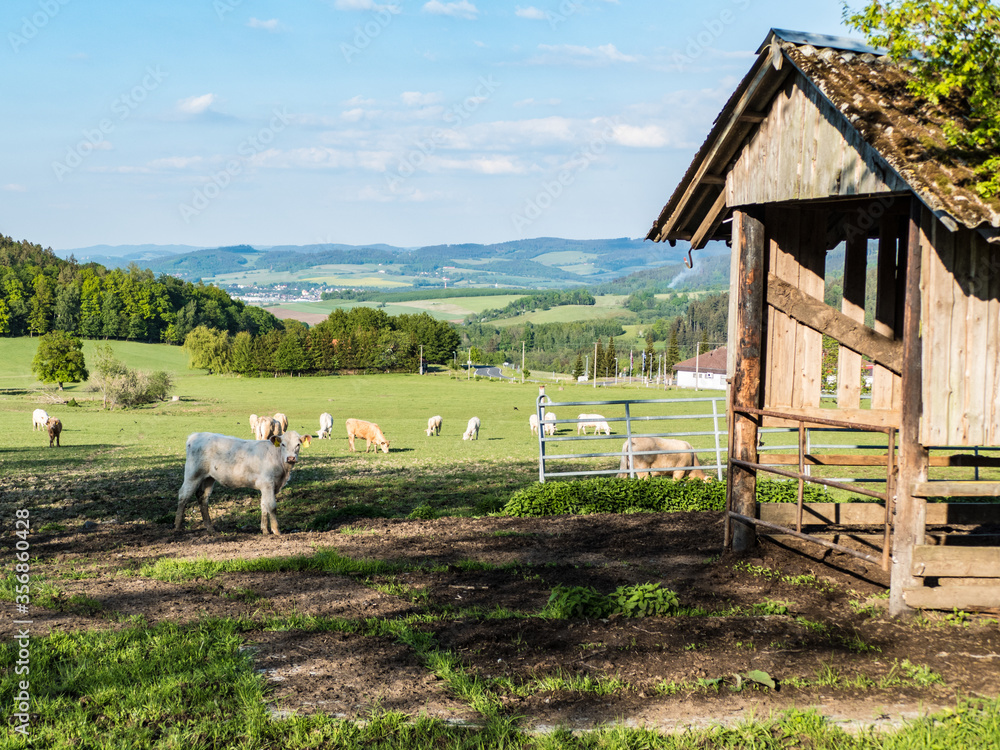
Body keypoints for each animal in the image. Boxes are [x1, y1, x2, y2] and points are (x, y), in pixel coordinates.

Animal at [175, 431, 311, 535]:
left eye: (298, 444)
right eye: (283, 444)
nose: (291, 458)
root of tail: (195, 435)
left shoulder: (266, 486)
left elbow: (264, 506)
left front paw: (265, 530)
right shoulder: (268, 483)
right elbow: (272, 506)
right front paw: (276, 530)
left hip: (208, 478)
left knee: (202, 498)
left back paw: (210, 528)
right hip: (193, 475)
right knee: (183, 496)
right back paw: (177, 527)